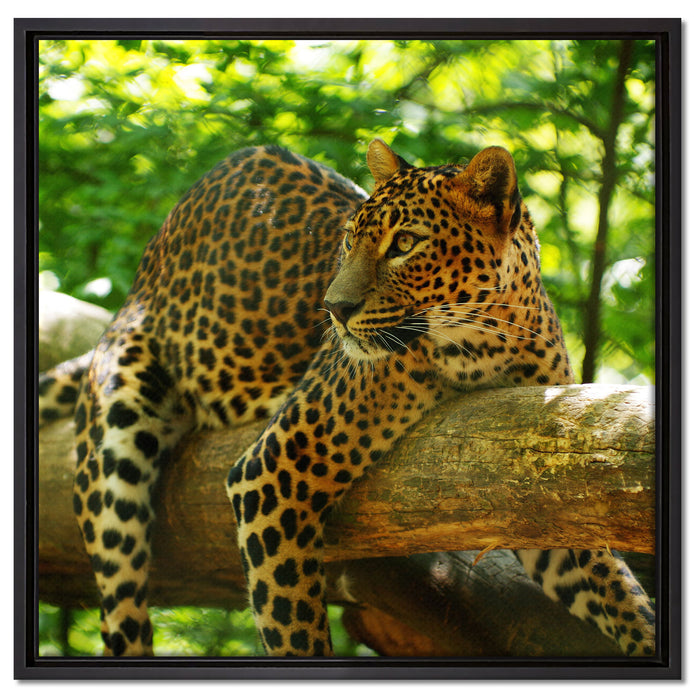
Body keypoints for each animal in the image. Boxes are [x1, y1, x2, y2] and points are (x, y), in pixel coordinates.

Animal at [39, 139, 656, 657]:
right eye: (348, 240)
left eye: (405, 244)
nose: (333, 309)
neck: (487, 344)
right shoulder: (271, 471)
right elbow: (293, 627)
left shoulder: (534, 487)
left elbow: (615, 588)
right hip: (115, 453)